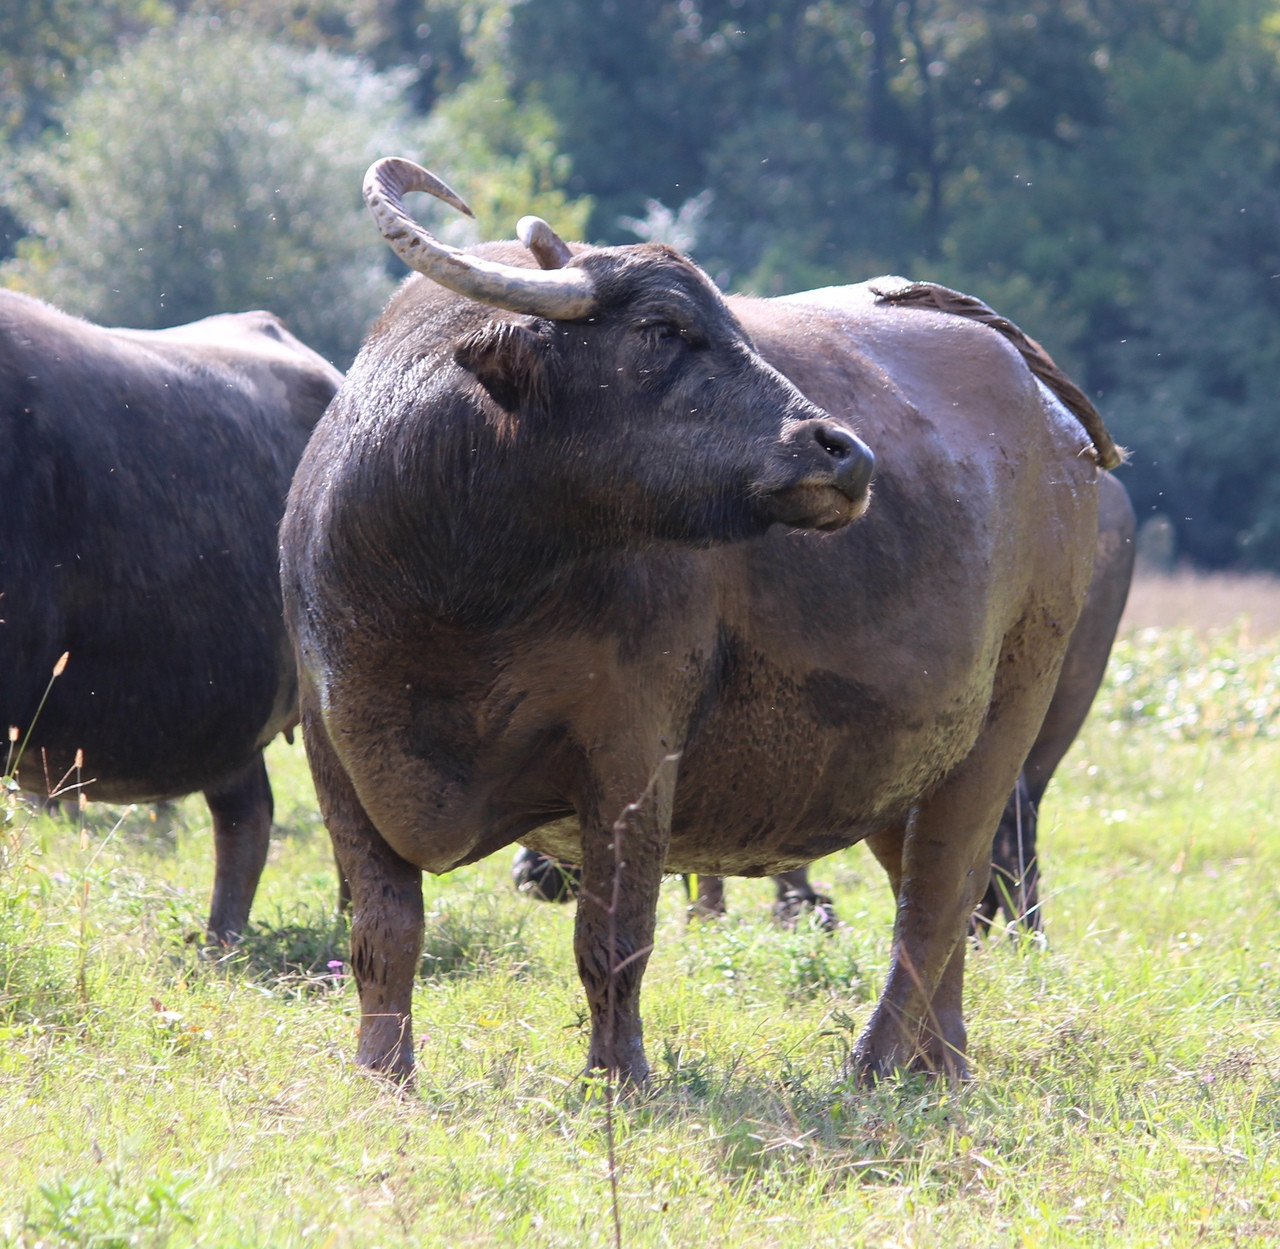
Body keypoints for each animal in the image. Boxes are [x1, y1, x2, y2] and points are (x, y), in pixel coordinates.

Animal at [280, 157, 1122, 1084]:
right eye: (662, 329)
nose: (844, 452)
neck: (454, 591)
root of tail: (1049, 413)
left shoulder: (632, 749)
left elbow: (613, 936)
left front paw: (619, 1075)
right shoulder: (334, 747)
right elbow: (383, 930)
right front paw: (381, 1070)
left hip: (1007, 721)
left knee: (941, 898)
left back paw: (873, 1063)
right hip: (901, 758)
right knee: (940, 893)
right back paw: (940, 1064)